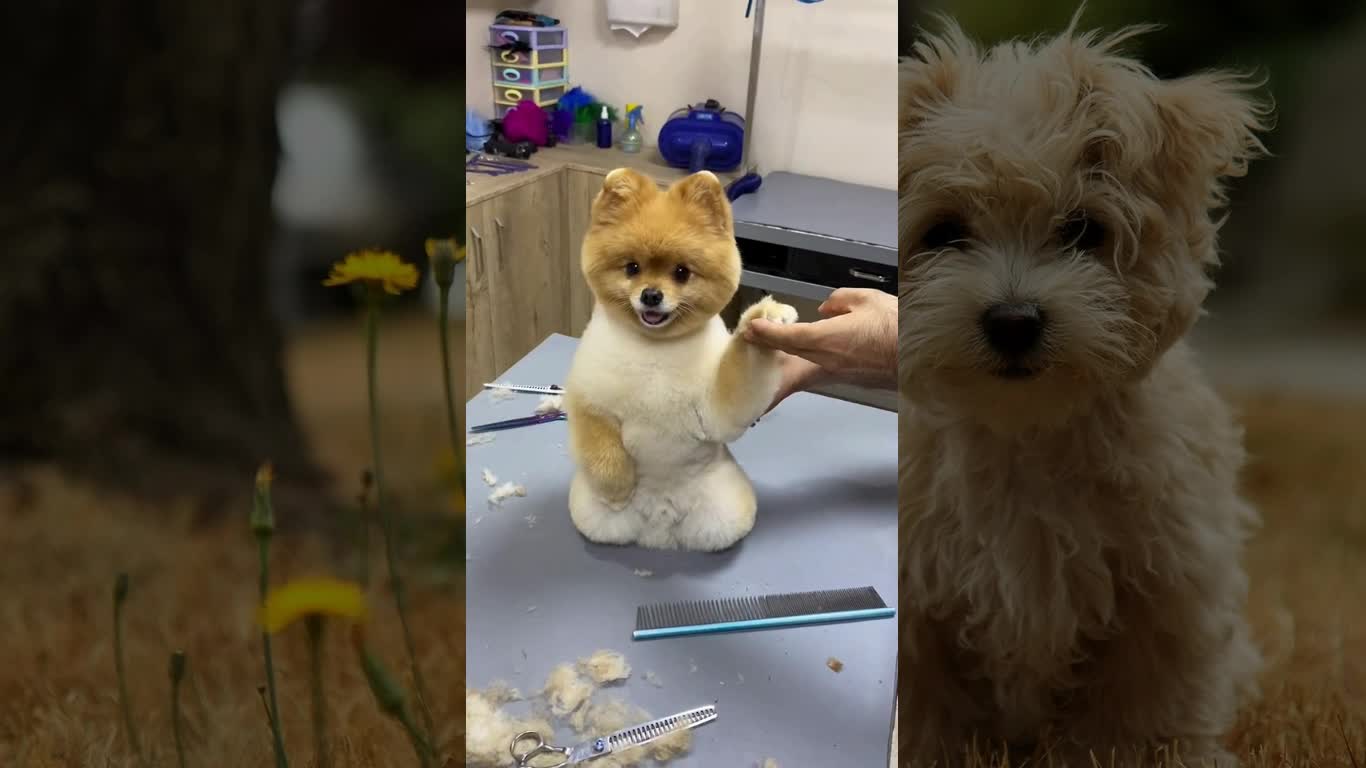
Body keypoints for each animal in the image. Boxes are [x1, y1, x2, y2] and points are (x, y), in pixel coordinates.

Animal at [565, 167, 797, 549]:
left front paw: (762, 319)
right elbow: (599, 445)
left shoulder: (719, 409)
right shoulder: (588, 399)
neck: (655, 349)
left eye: (681, 272)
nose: (651, 295)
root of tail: (657, 530)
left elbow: (740, 369)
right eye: (632, 268)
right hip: (587, 509)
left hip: (728, 508)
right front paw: (617, 489)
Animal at [896, 13, 1267, 765]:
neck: (1024, 433)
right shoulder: (923, 602)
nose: (1013, 321)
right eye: (944, 232)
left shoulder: (1166, 585)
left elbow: (1136, 710)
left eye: (1083, 231)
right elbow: (929, 707)